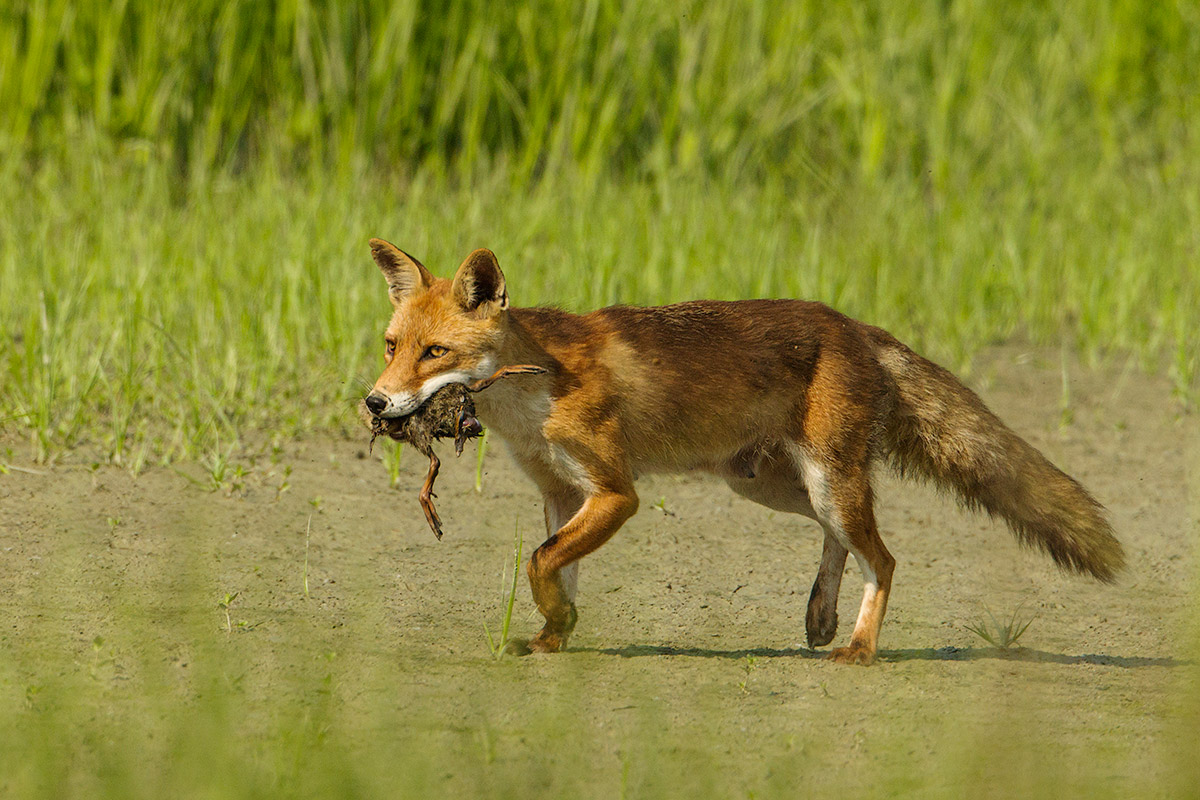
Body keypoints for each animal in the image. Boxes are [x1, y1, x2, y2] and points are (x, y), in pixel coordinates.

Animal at [363, 239, 1124, 665]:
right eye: (392, 346)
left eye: (436, 353)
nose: (374, 403)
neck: (533, 393)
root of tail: (854, 323)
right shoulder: (562, 493)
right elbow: (555, 569)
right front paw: (555, 636)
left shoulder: (615, 493)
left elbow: (541, 562)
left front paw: (558, 627)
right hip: (773, 486)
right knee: (841, 542)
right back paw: (821, 616)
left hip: (826, 482)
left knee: (884, 558)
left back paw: (859, 647)